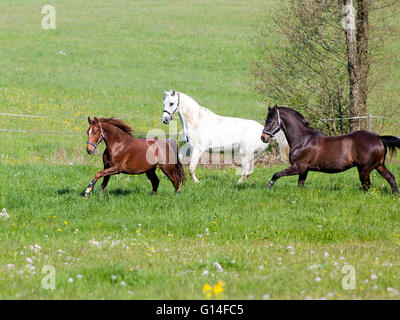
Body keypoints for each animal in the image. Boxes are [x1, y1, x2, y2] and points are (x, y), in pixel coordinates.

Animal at [159, 91, 288, 184]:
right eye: (164, 103)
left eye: (171, 103)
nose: (165, 120)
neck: (196, 121)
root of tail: (264, 131)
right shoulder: (189, 146)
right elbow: (179, 157)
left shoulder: (198, 148)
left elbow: (191, 167)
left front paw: (197, 182)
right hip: (251, 154)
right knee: (249, 170)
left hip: (244, 153)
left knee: (245, 170)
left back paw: (238, 183)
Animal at [262, 106, 400, 194]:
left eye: (271, 120)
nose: (263, 137)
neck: (303, 140)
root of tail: (379, 138)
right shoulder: (304, 170)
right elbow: (300, 185)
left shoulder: (298, 166)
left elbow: (277, 174)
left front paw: (269, 186)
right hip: (379, 165)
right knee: (390, 177)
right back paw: (395, 194)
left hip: (364, 169)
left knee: (367, 186)